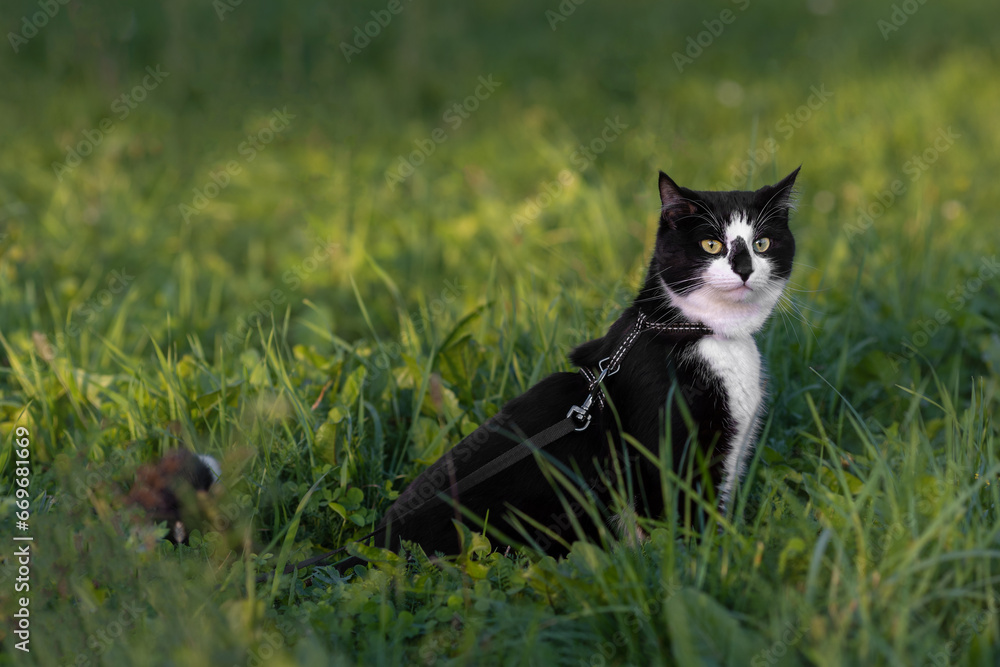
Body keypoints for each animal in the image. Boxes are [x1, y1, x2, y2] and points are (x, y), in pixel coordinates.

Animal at [350, 166, 796, 564]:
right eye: (711, 246)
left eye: (762, 243)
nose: (744, 268)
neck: (696, 331)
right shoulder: (664, 451)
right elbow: (683, 520)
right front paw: (704, 562)